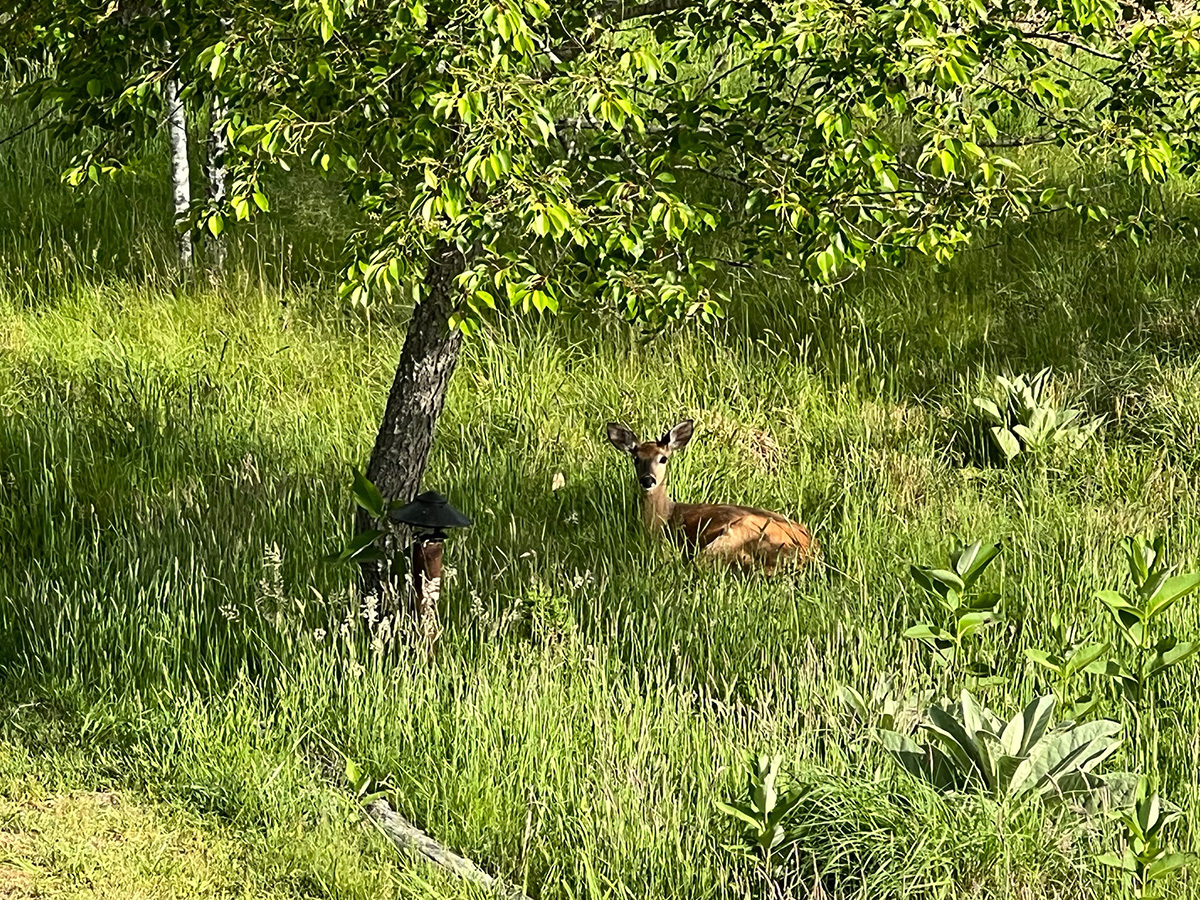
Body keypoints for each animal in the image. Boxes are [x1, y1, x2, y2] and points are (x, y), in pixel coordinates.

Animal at [606, 419, 818, 574]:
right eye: (636, 459)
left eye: (663, 458)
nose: (647, 480)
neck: (664, 516)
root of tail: (810, 551)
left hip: (735, 533)